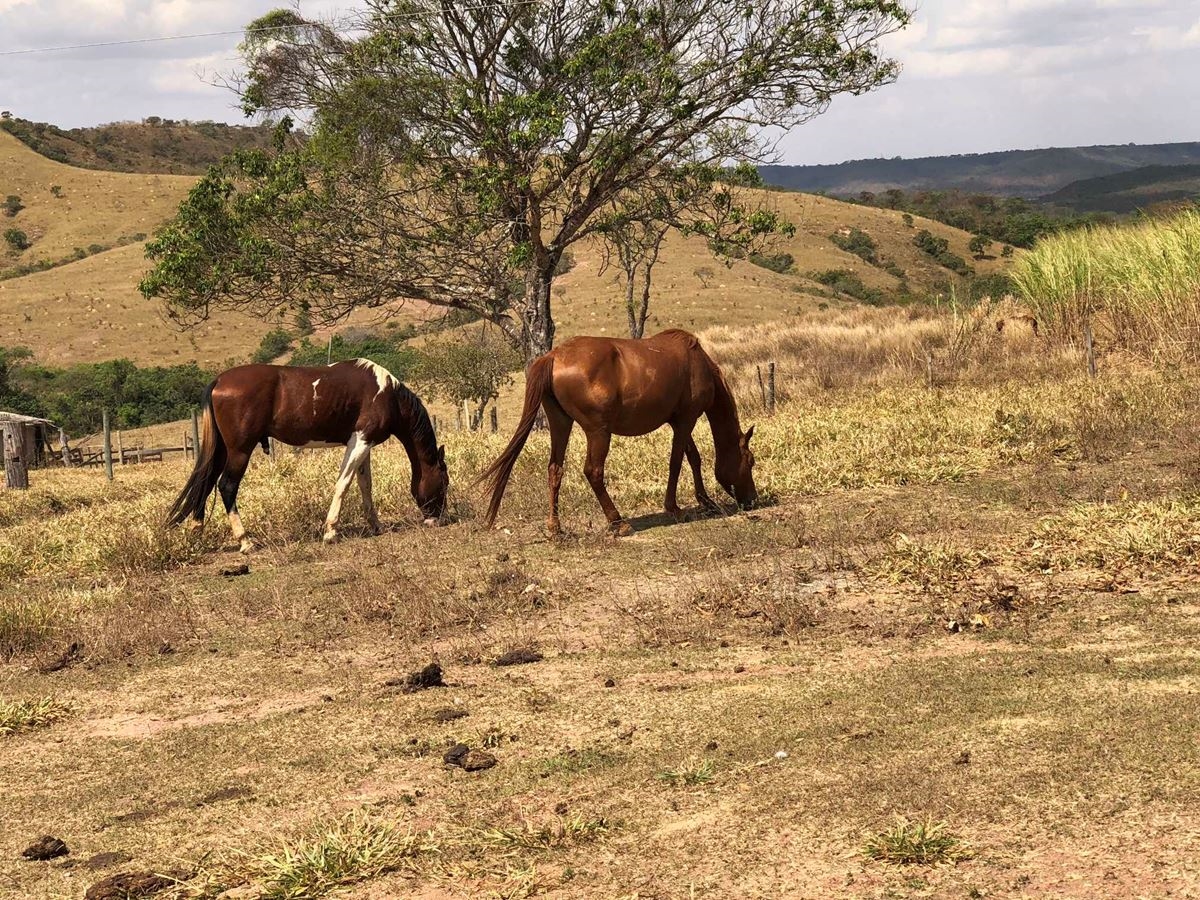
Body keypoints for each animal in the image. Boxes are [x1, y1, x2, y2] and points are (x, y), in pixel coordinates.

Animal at [166, 360, 448, 549]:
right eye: (445, 482)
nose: (438, 518)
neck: (387, 394)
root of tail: (219, 381)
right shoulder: (359, 442)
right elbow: (343, 484)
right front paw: (331, 531)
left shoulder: (363, 444)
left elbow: (365, 485)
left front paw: (375, 525)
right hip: (239, 451)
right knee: (226, 486)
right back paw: (245, 541)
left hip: (224, 450)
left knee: (205, 481)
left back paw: (197, 532)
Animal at [475, 328, 748, 535]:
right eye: (750, 461)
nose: (751, 500)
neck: (698, 362)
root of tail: (553, 356)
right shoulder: (686, 419)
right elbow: (677, 462)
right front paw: (675, 508)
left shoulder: (678, 421)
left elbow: (693, 458)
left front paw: (706, 501)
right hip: (598, 432)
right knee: (593, 472)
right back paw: (618, 521)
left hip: (560, 423)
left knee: (555, 468)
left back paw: (555, 527)